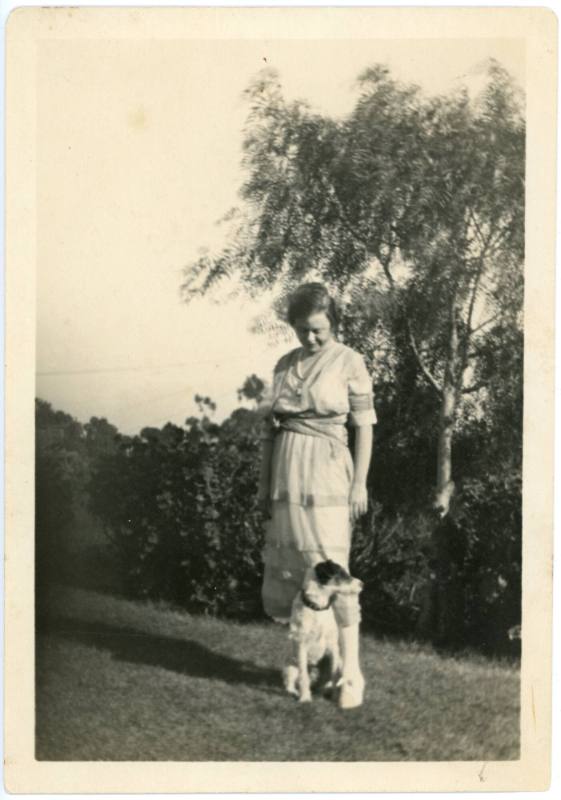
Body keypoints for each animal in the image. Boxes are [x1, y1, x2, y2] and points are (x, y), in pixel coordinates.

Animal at [280, 560, 364, 704]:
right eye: (342, 574)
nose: (362, 584)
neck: (318, 608)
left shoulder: (333, 648)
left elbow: (334, 676)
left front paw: (335, 697)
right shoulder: (301, 645)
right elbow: (303, 677)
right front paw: (305, 698)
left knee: (325, 683)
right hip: (290, 666)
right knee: (291, 684)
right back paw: (296, 692)